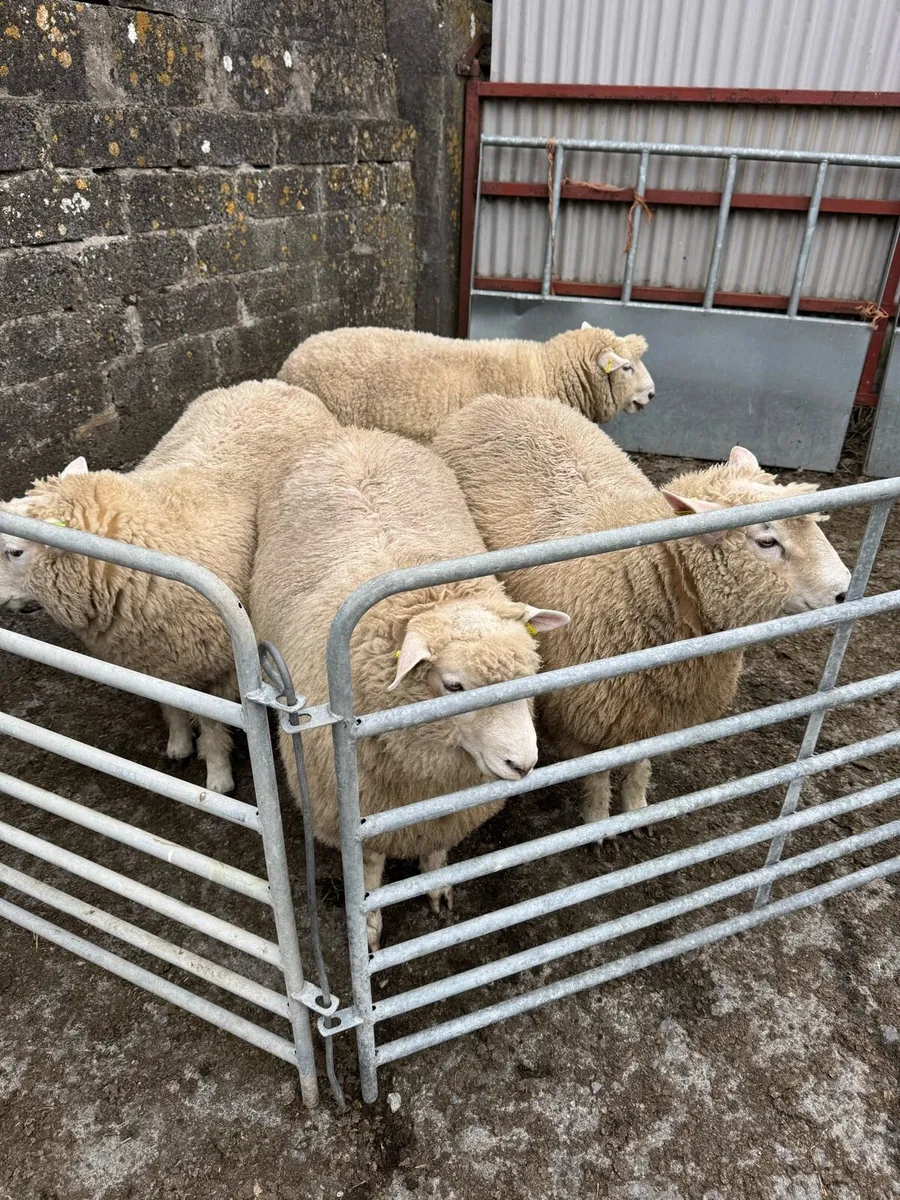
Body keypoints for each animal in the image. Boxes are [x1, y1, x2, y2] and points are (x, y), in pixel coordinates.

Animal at [0, 380, 337, 794]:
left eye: (15, 551)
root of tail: (269, 383)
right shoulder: (157, 658)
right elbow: (171, 704)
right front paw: (178, 744)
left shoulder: (218, 666)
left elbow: (212, 721)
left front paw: (218, 775)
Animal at [250, 425, 570, 949]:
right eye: (454, 685)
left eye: (532, 669)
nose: (522, 764)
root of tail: (353, 434)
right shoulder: (356, 809)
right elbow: (370, 870)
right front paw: (369, 928)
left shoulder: (441, 810)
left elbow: (436, 850)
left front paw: (437, 888)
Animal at [433, 394, 851, 836]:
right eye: (767, 541)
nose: (844, 590)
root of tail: (492, 399)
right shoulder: (585, 714)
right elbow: (599, 772)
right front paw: (599, 820)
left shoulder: (652, 715)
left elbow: (639, 764)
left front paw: (637, 811)